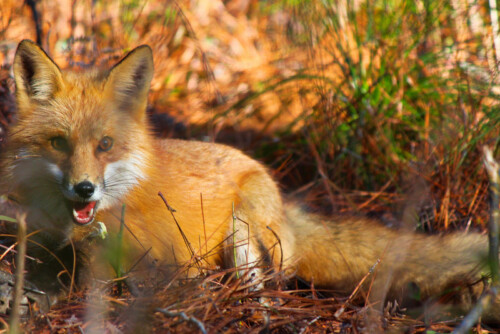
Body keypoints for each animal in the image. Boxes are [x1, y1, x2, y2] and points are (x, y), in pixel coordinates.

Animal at [0, 40, 498, 322]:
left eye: (105, 145)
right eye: (59, 143)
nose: (85, 189)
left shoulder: (149, 266)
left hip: (244, 231)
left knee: (265, 296)